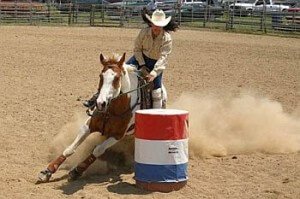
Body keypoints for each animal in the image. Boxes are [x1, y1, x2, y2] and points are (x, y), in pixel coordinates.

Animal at [37, 52, 166, 182]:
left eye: (117, 78)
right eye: (101, 76)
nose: (100, 103)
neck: (111, 110)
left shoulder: (117, 135)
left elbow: (98, 150)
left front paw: (77, 171)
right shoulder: (89, 125)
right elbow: (70, 149)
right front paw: (48, 171)